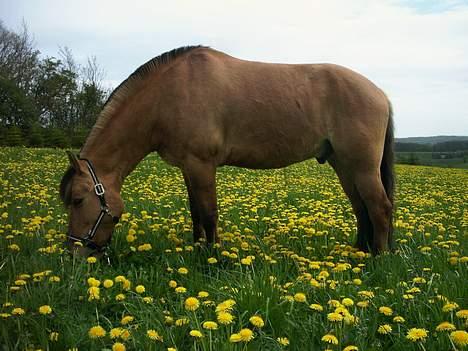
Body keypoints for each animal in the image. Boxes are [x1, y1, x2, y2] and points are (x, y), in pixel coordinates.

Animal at [59, 45, 394, 258]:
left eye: (77, 200)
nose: (74, 253)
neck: (169, 95)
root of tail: (380, 93)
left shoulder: (202, 164)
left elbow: (209, 214)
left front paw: (212, 258)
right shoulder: (187, 167)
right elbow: (195, 212)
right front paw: (196, 250)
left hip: (362, 166)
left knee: (379, 207)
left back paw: (377, 258)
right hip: (343, 164)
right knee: (361, 207)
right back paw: (359, 252)